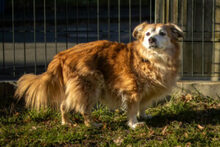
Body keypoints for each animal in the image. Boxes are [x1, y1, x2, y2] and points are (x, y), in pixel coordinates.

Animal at [14, 21, 184, 129]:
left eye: (162, 33)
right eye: (147, 33)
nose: (151, 39)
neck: (152, 58)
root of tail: (62, 55)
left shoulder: (147, 91)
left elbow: (143, 105)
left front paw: (144, 115)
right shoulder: (132, 90)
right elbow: (133, 108)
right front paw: (134, 124)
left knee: (64, 105)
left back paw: (66, 123)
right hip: (91, 85)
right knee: (84, 109)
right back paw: (91, 124)